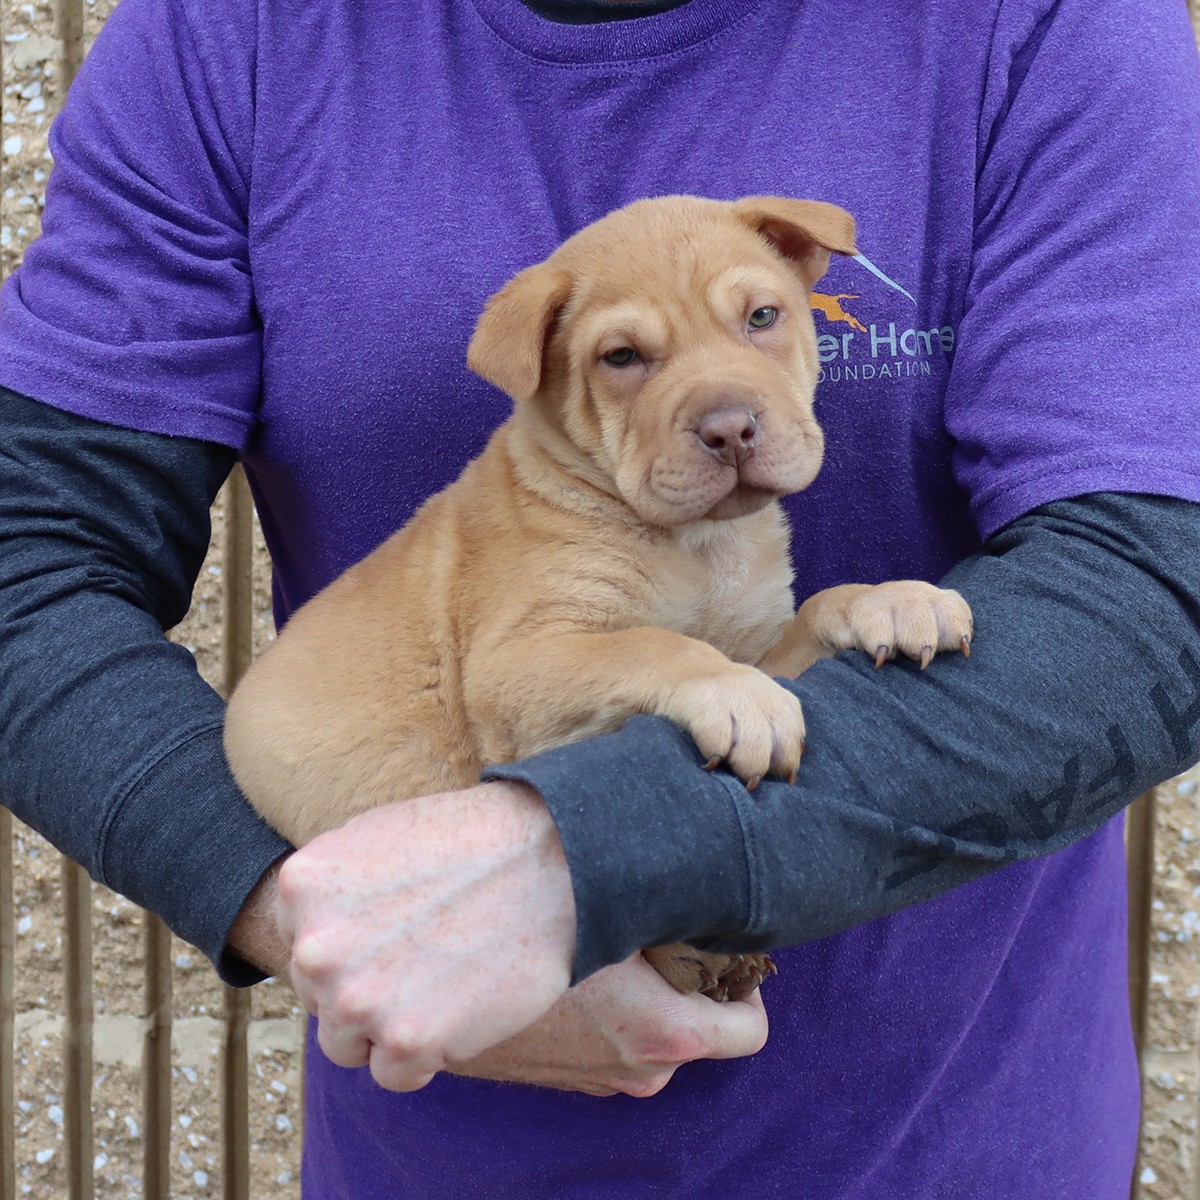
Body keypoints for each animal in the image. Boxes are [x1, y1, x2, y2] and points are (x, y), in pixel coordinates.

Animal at [224, 195, 973, 1001]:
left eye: (763, 317)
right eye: (621, 358)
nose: (731, 429)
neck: (699, 546)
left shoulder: (761, 644)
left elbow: (814, 608)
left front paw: (892, 600)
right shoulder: (517, 666)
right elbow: (656, 644)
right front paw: (738, 698)